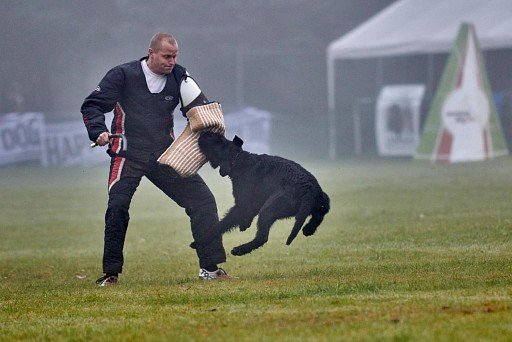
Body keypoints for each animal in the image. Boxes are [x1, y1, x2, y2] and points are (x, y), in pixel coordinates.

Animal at [194, 132, 330, 255]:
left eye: (220, 141)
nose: (204, 133)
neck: (239, 161)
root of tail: (309, 190)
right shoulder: (252, 204)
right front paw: (244, 224)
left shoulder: (242, 204)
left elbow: (223, 224)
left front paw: (201, 241)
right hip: (323, 201)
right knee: (319, 214)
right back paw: (308, 229)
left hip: (269, 209)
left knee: (262, 237)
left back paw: (240, 250)